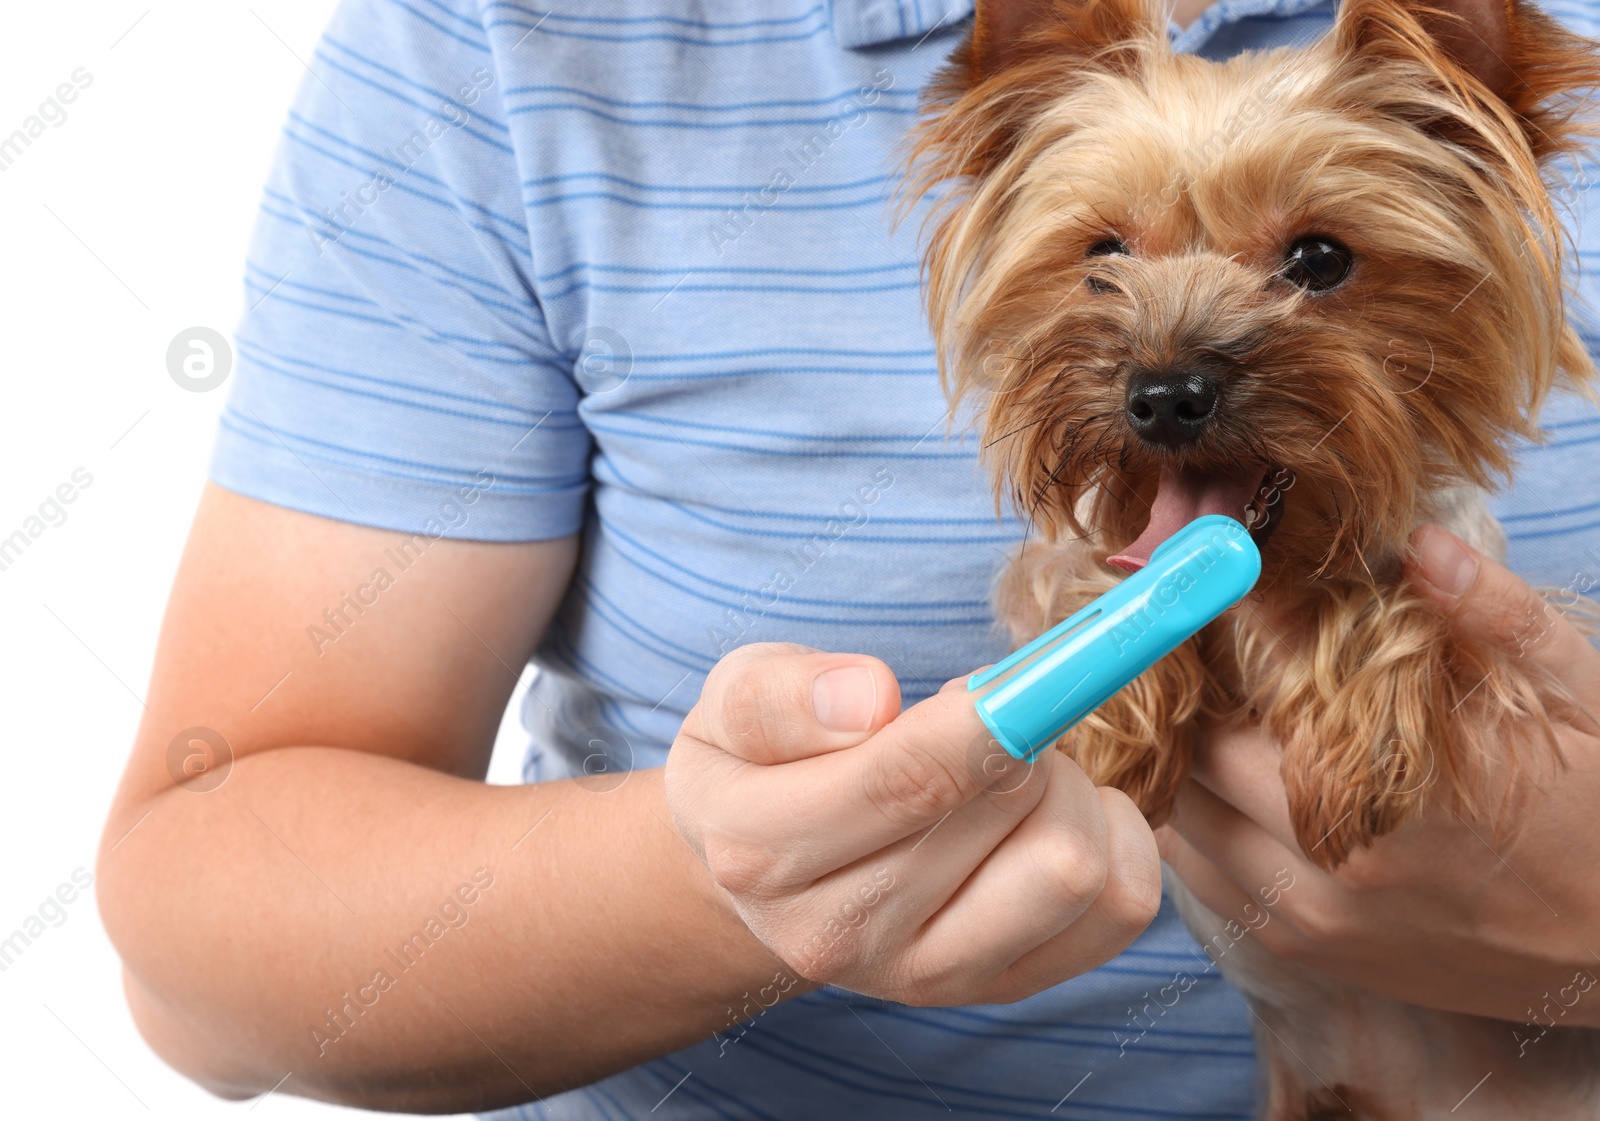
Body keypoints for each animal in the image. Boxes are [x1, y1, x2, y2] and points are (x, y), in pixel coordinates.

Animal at [915, 0, 1600, 1113]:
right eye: (1101, 254)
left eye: (1318, 258)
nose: (1161, 394)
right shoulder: (1079, 551)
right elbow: (1071, 571)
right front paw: (1113, 710)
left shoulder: (1489, 610)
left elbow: (1396, 598)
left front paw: (1355, 734)